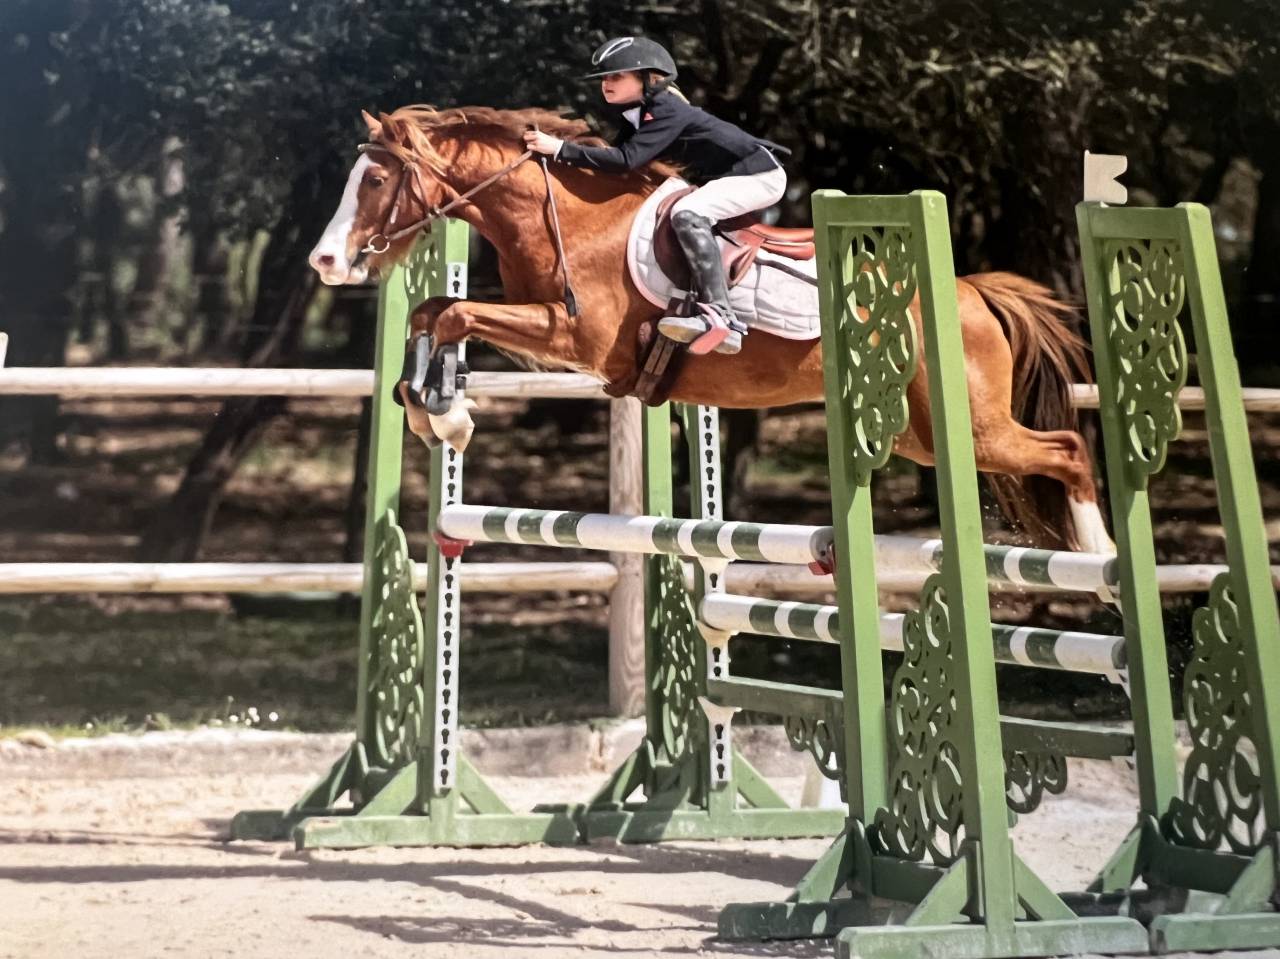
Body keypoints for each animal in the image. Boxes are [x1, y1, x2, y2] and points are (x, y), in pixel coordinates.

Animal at [308, 105, 1110, 552]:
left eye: (374, 181)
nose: (325, 260)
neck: (563, 216)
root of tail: (970, 290)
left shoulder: (573, 335)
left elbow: (454, 311)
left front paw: (450, 416)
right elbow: (430, 312)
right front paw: (436, 408)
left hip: (972, 425)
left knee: (1068, 450)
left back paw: (1098, 555)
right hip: (924, 434)